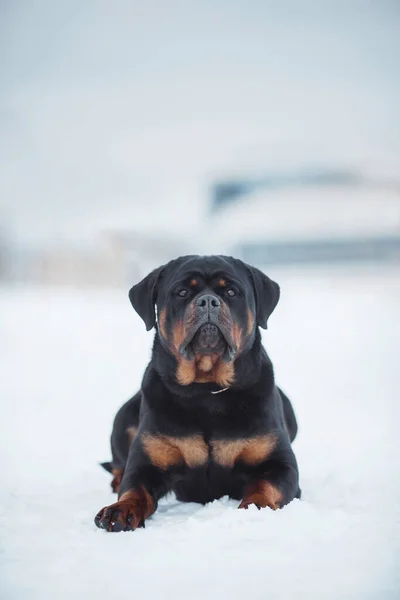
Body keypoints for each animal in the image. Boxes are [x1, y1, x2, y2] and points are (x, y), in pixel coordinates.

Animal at [94, 255, 300, 532]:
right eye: (182, 292)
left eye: (231, 292)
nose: (208, 301)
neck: (206, 390)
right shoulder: (146, 464)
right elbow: (133, 488)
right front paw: (120, 509)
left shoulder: (279, 464)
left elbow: (265, 485)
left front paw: (255, 506)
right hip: (123, 417)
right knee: (118, 465)